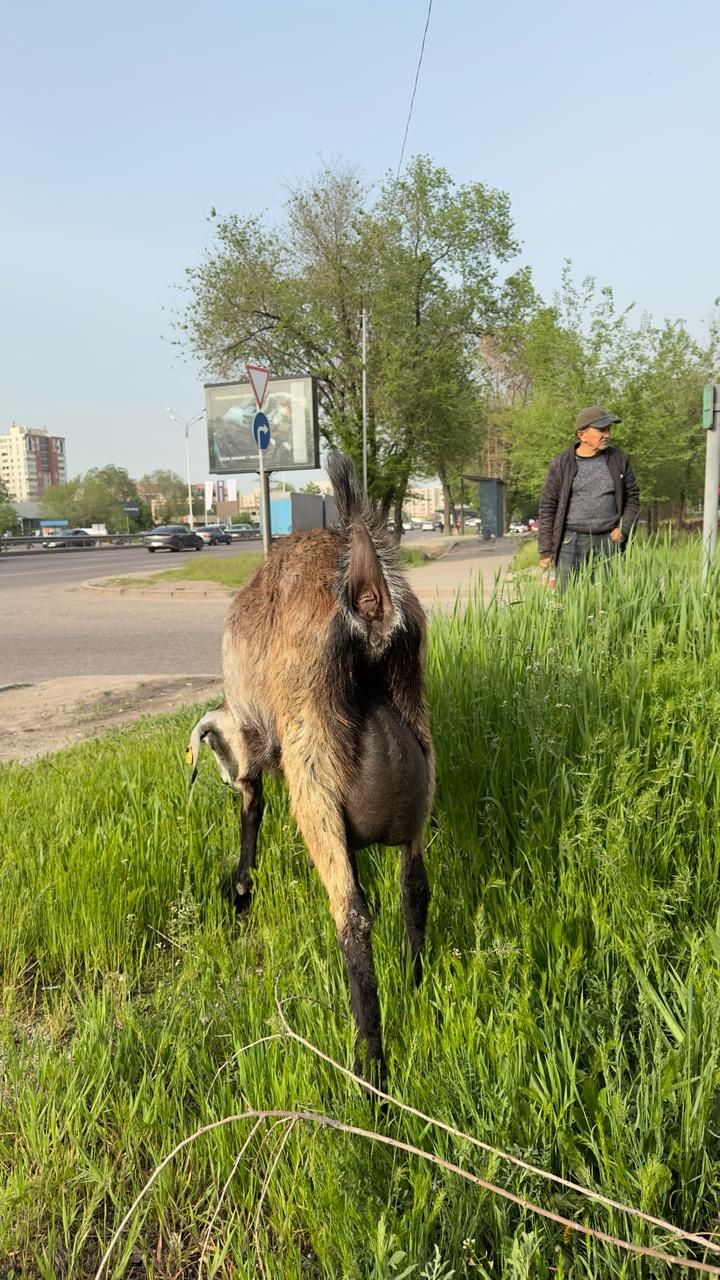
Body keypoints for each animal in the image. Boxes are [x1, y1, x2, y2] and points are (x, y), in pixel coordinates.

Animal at [185, 453, 430, 1080]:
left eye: (215, 751)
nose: (224, 776)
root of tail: (369, 595)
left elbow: (252, 812)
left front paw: (240, 896)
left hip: (311, 761)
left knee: (353, 917)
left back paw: (371, 1071)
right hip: (419, 748)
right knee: (414, 886)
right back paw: (417, 982)